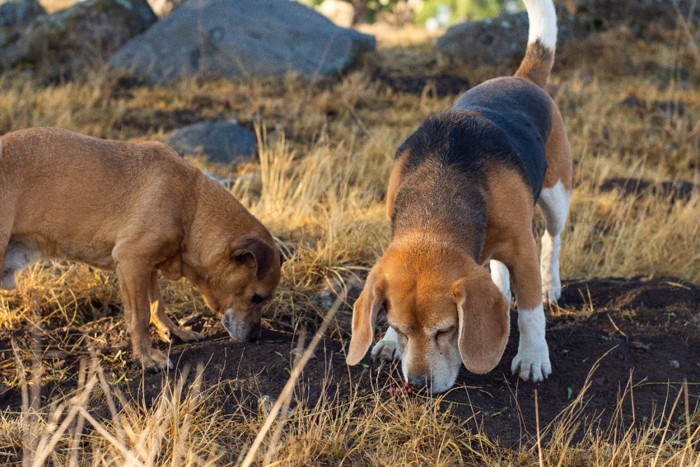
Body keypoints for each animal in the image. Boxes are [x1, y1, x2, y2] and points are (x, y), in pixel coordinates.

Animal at [3, 126, 282, 372]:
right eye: (256, 298)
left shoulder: (148, 266)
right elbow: (140, 316)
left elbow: (158, 305)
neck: (191, 208)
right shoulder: (132, 262)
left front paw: (174, 331)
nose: (256, 337)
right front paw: (147, 358)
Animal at [348, 0, 572, 394]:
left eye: (446, 331)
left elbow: (530, 313)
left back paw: (551, 284)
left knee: (553, 239)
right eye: (401, 328)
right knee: (499, 269)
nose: (418, 384)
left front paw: (532, 357)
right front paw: (388, 342)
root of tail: (523, 78)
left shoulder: (522, 249)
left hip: (556, 195)